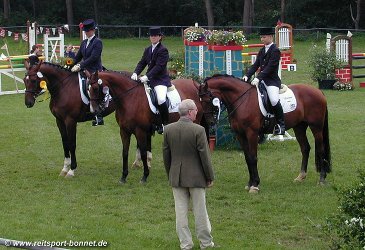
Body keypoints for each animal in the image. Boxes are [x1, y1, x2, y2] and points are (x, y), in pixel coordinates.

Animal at [199, 74, 330, 193]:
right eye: (200, 101)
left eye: (208, 100)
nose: (210, 122)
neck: (243, 100)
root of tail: (318, 91)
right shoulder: (240, 135)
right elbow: (247, 158)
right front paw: (250, 183)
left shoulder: (251, 133)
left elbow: (253, 158)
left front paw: (255, 185)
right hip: (299, 127)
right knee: (305, 148)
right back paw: (301, 177)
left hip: (316, 127)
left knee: (321, 150)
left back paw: (322, 179)